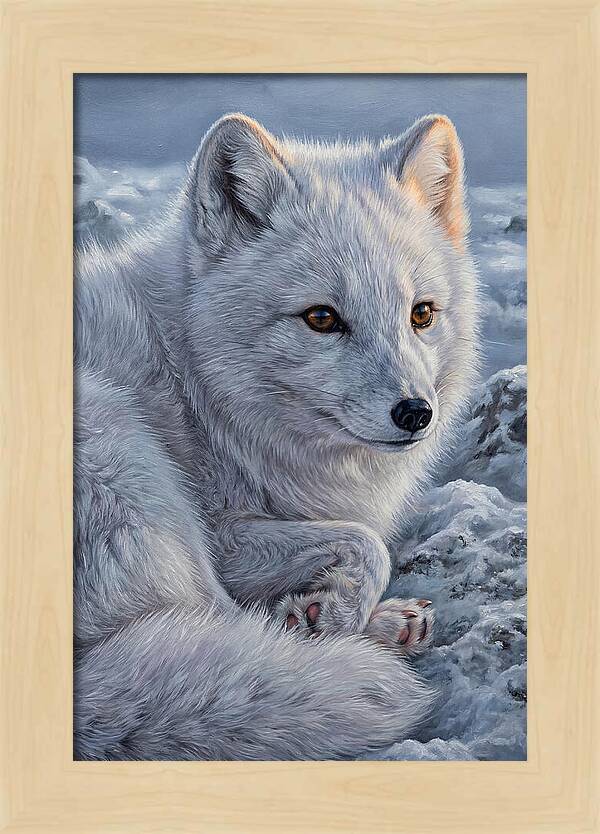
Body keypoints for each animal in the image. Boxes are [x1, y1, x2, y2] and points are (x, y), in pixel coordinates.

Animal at [73, 112, 480, 760]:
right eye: (321, 318)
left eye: (421, 314)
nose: (416, 413)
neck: (194, 382)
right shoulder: (222, 533)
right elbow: (368, 542)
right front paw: (333, 615)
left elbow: (359, 541)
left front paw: (329, 609)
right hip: (127, 459)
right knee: (220, 625)